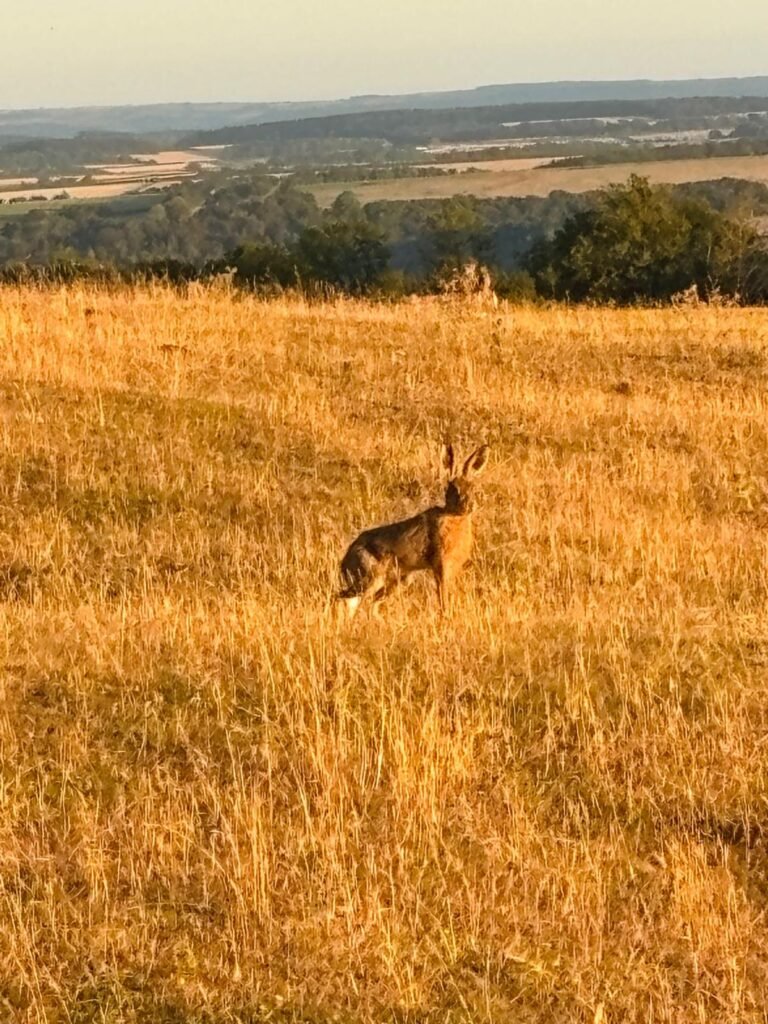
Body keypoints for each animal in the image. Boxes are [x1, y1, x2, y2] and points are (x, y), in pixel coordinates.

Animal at [334, 443, 490, 619]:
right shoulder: (440, 565)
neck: (454, 516)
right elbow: (442, 595)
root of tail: (346, 559)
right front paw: (445, 616)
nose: (469, 505)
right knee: (344, 599)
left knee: (366, 603)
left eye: (473, 488)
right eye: (453, 489)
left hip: (398, 580)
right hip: (372, 578)